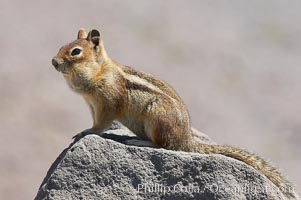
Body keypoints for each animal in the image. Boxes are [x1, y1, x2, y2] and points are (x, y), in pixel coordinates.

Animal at [51, 28, 298, 198]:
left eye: (75, 52)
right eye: (62, 45)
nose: (53, 61)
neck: (98, 71)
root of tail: (186, 139)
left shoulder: (108, 104)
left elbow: (100, 124)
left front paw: (87, 132)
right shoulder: (92, 105)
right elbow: (96, 121)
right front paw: (84, 130)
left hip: (156, 117)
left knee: (164, 145)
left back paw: (140, 142)